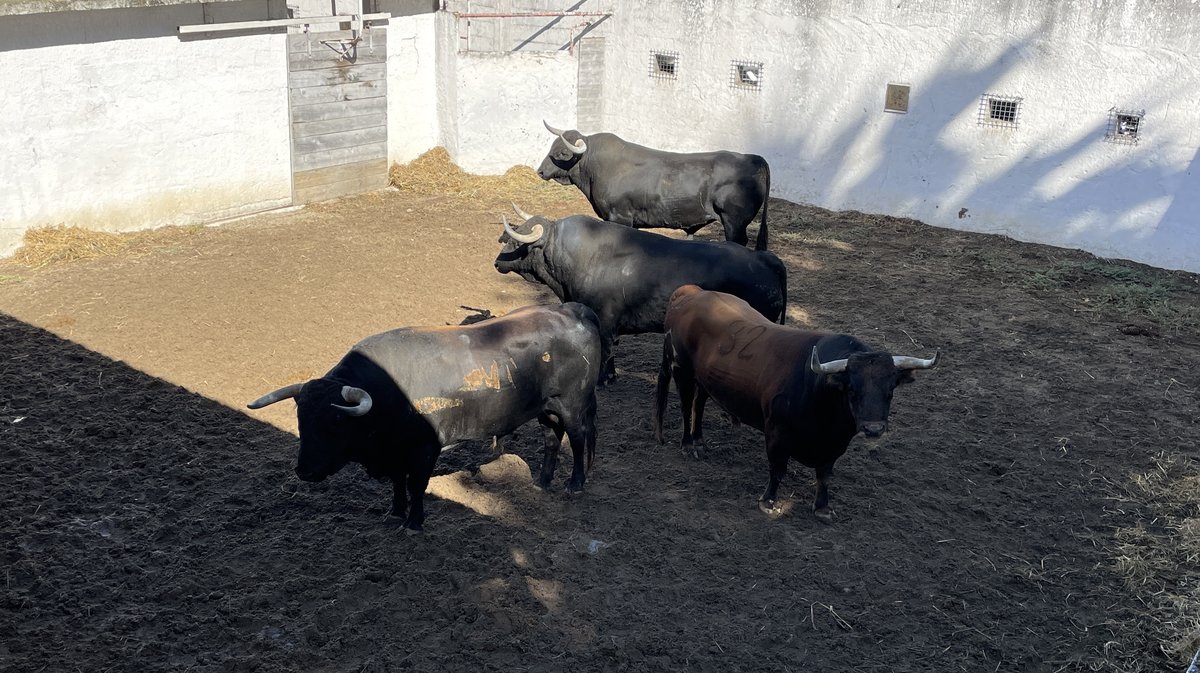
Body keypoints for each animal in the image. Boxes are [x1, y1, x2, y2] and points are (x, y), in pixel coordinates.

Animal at [246, 303, 600, 530]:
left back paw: (575, 484)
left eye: (336, 421)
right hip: (546, 409)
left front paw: (414, 521)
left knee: (577, 438)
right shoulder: (395, 454)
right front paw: (395, 512)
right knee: (551, 439)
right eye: (301, 419)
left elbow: (416, 485)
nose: (303, 471)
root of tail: (573, 309)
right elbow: (398, 484)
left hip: (572, 406)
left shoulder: (424, 449)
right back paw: (542, 481)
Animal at [494, 209, 787, 386]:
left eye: (515, 242)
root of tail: (764, 257)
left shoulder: (605, 322)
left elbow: (607, 351)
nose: (497, 262)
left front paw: (603, 379)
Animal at [540, 120, 772, 249]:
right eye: (552, 146)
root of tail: (752, 158)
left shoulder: (620, 217)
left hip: (734, 222)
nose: (540, 171)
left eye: (563, 153)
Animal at [652, 285, 940, 523]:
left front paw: (823, 507)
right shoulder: (777, 433)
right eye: (852, 389)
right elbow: (778, 469)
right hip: (682, 370)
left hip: (705, 379)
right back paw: (689, 445)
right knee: (686, 405)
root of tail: (692, 293)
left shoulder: (835, 446)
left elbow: (824, 476)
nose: (874, 429)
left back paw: (700, 442)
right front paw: (768, 502)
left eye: (890, 390)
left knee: (698, 404)